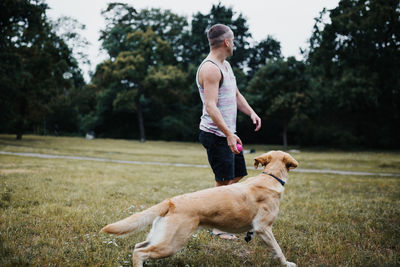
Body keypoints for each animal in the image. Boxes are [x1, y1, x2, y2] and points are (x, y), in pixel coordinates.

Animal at [101, 152, 298, 266]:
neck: (271, 177)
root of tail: (171, 201)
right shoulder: (264, 229)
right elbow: (278, 250)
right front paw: (287, 263)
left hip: (160, 237)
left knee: (138, 246)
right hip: (171, 244)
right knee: (140, 253)